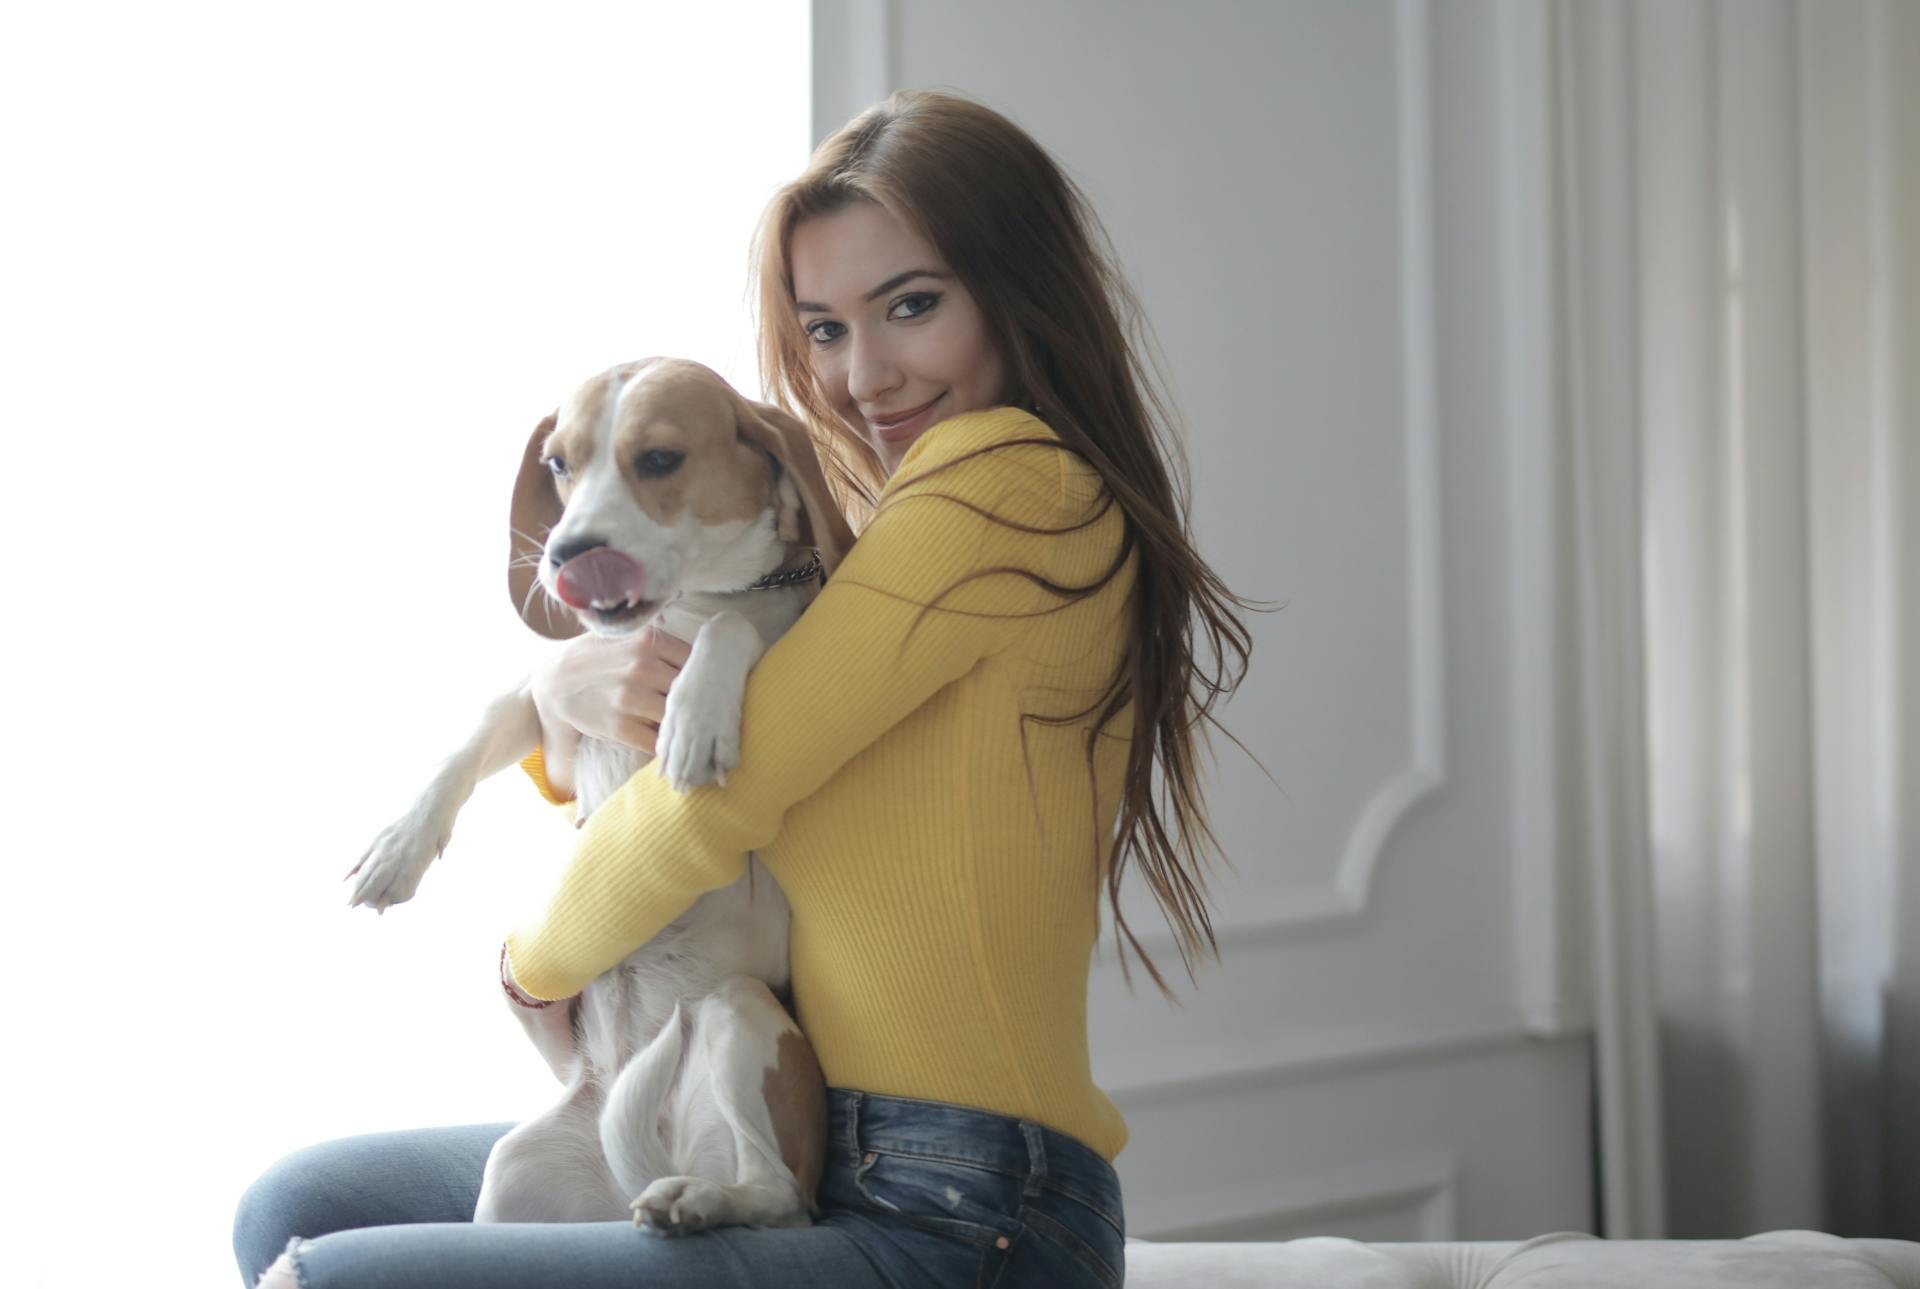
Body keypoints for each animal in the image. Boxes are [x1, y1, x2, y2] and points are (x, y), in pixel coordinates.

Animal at [343, 357, 856, 1237]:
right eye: (559, 463)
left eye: (660, 459)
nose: (564, 553)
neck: (679, 608)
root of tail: (637, 1180)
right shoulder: (543, 694)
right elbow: (463, 748)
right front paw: (398, 850)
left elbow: (734, 631)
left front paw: (695, 713)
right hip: (512, 1179)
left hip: (740, 1012)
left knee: (778, 1196)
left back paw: (700, 1200)